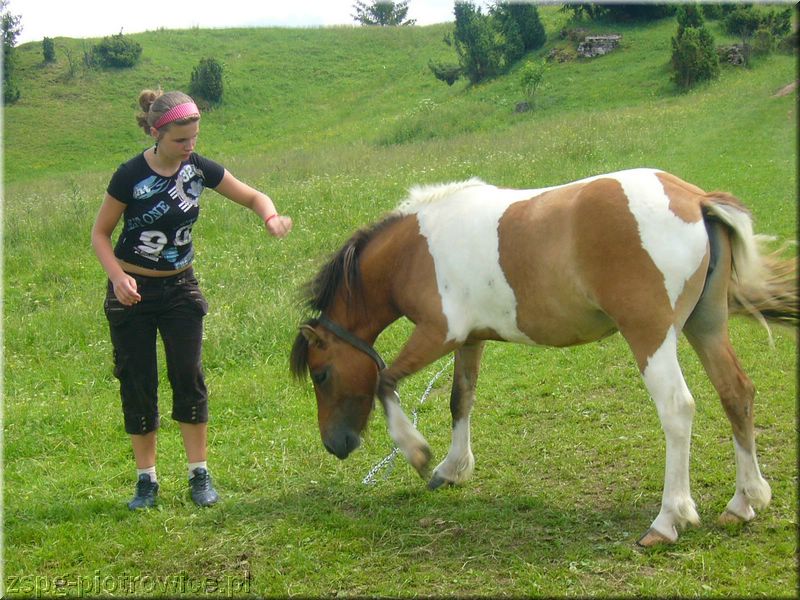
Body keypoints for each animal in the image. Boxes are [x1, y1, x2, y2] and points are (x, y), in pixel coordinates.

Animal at [290, 166, 796, 548]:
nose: (336, 445)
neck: (414, 250)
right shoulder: (470, 339)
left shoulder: (439, 333)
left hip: (651, 335)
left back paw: (669, 519)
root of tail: (695, 199)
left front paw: (417, 452)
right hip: (705, 326)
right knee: (736, 393)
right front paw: (452, 469)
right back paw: (745, 501)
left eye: (321, 375)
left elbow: (384, 382)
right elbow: (460, 399)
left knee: (677, 409)